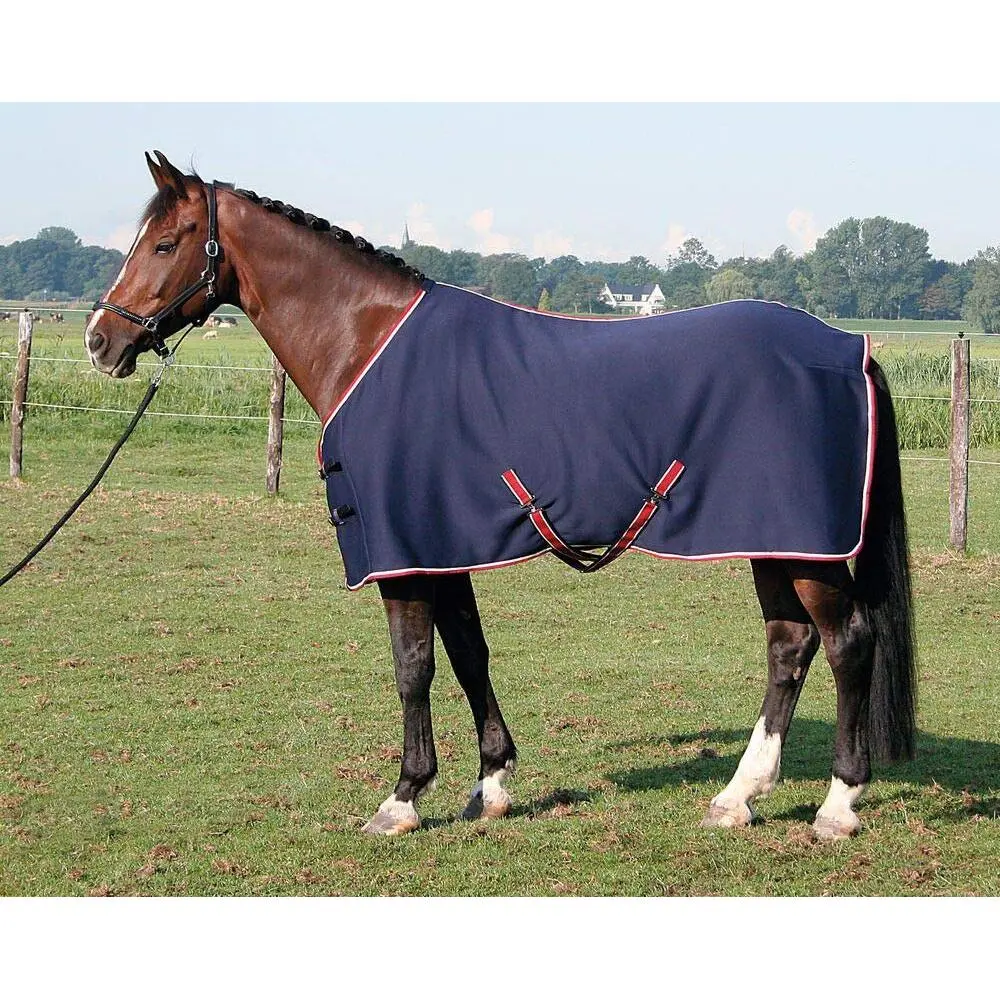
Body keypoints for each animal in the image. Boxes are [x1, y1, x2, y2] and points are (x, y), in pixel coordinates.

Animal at [84, 151, 916, 840]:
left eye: (166, 244)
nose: (100, 341)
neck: (369, 345)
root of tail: (849, 348)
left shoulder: (404, 556)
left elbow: (413, 665)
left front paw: (402, 798)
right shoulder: (441, 547)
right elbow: (468, 654)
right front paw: (490, 786)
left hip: (803, 547)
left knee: (846, 644)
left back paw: (838, 806)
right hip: (771, 539)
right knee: (789, 647)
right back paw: (738, 797)